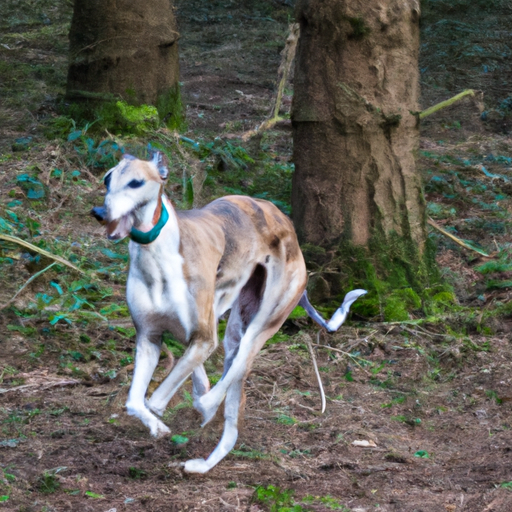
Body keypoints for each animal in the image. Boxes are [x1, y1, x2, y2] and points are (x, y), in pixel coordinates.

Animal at [90, 151, 366, 472]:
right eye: (107, 179)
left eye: (135, 182)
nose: (99, 212)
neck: (157, 256)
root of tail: (286, 224)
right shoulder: (149, 337)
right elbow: (136, 401)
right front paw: (159, 427)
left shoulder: (203, 338)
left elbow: (156, 400)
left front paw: (179, 408)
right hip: (234, 330)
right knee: (231, 403)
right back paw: (203, 463)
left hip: (260, 326)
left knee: (230, 380)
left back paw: (206, 410)